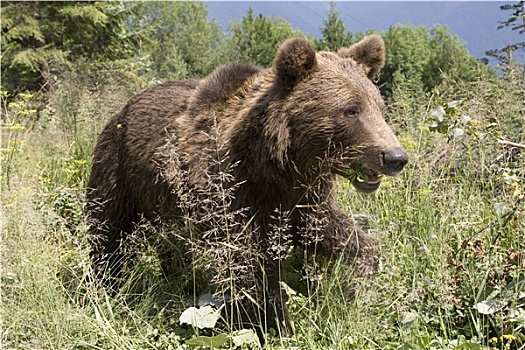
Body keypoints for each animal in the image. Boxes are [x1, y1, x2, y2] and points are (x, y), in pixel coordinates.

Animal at [87, 35, 406, 340]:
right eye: (351, 110)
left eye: (380, 108)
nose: (395, 156)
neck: (274, 165)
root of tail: (124, 107)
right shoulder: (230, 194)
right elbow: (246, 268)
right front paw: (278, 325)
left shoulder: (301, 198)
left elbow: (332, 232)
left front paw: (361, 284)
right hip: (117, 169)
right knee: (106, 230)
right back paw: (105, 285)